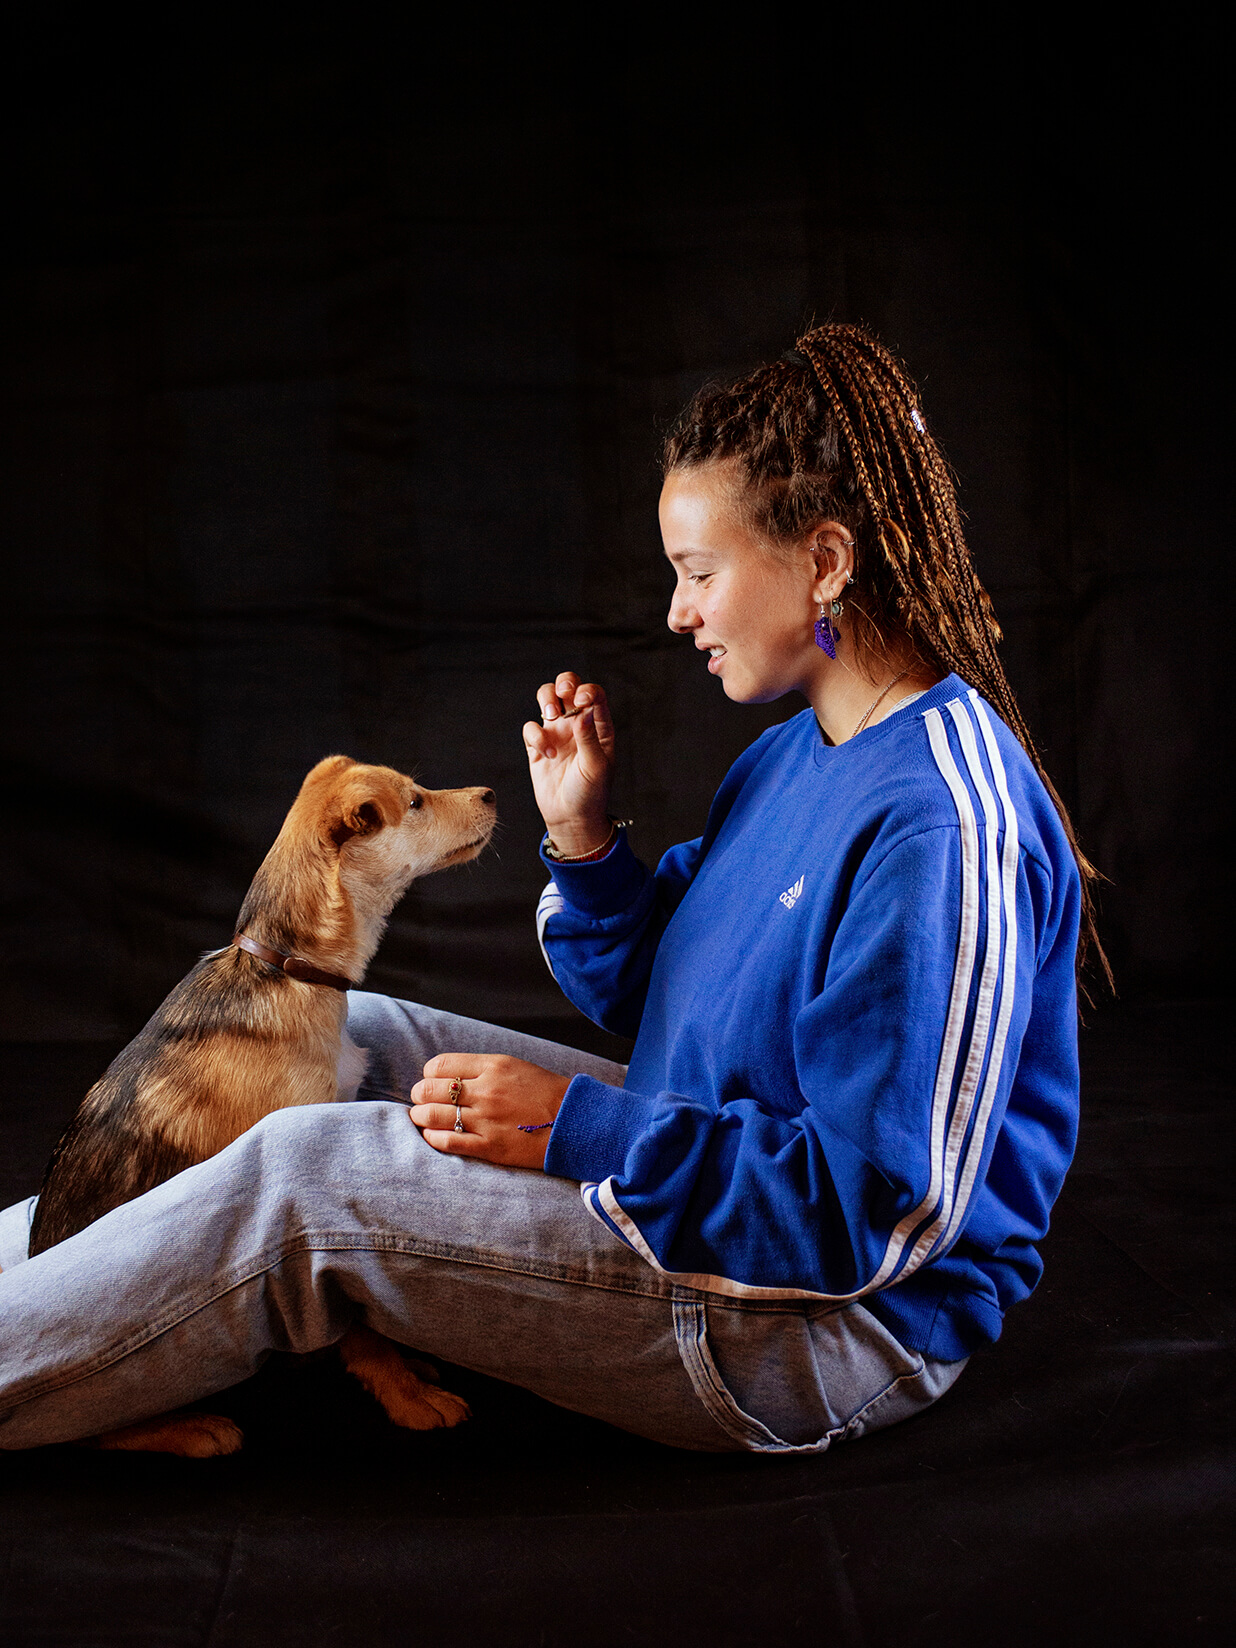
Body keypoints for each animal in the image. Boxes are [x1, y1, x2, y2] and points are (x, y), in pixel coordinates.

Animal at [26, 754, 497, 1456]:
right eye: (415, 802)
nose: (492, 793)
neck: (287, 968)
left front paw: (405, 1368)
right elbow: (358, 1323)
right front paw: (405, 1393)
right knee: (93, 1422)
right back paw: (188, 1428)